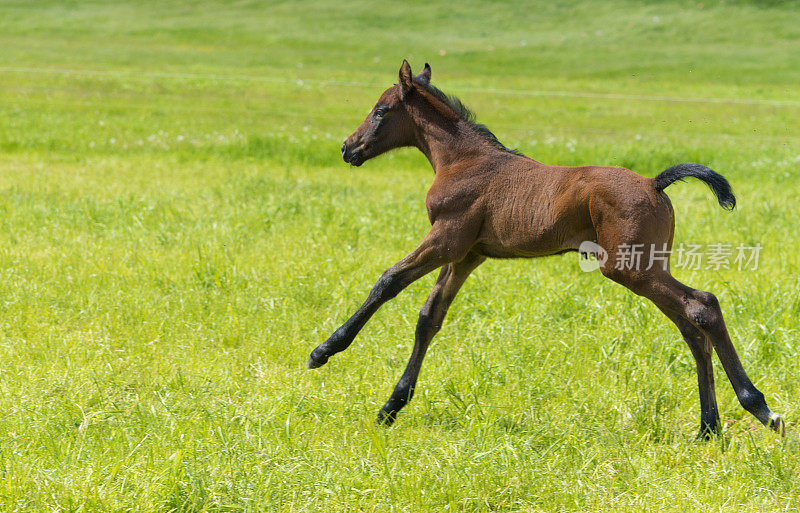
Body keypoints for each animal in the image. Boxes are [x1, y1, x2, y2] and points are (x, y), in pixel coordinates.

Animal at [308, 60, 788, 436]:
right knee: (691, 324)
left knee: (702, 306)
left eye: (380, 110)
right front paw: (391, 406)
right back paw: (709, 428)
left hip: (629, 267)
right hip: (649, 267)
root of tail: (655, 182)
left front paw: (324, 351)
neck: (464, 161)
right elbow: (429, 318)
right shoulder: (466, 255)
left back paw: (760, 409)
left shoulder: (445, 238)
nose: (348, 148)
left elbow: (388, 281)